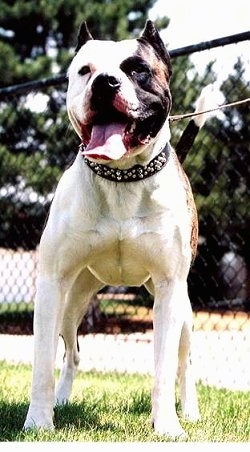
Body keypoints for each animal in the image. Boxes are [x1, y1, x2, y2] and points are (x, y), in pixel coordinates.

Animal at [23, 20, 205, 438]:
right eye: (84, 70)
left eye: (138, 69)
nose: (105, 82)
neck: (122, 178)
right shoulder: (52, 283)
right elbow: (41, 362)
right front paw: (38, 422)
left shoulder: (169, 288)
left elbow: (163, 368)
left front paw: (166, 426)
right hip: (73, 300)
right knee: (71, 353)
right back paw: (61, 399)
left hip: (185, 311)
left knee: (184, 362)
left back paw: (188, 411)